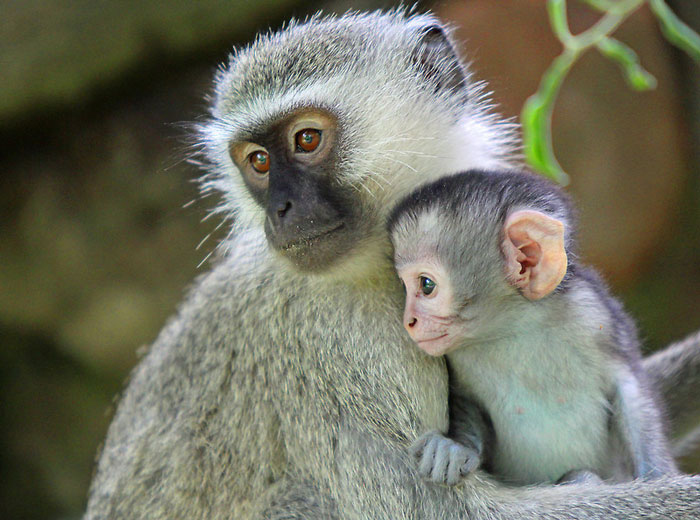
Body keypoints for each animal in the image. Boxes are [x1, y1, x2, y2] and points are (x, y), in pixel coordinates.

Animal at [388, 171, 680, 488]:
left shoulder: (596, 315)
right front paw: (455, 447)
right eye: (404, 287)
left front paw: (658, 477)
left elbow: (630, 391)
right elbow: (465, 400)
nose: (409, 321)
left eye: (426, 285)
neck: (516, 328)